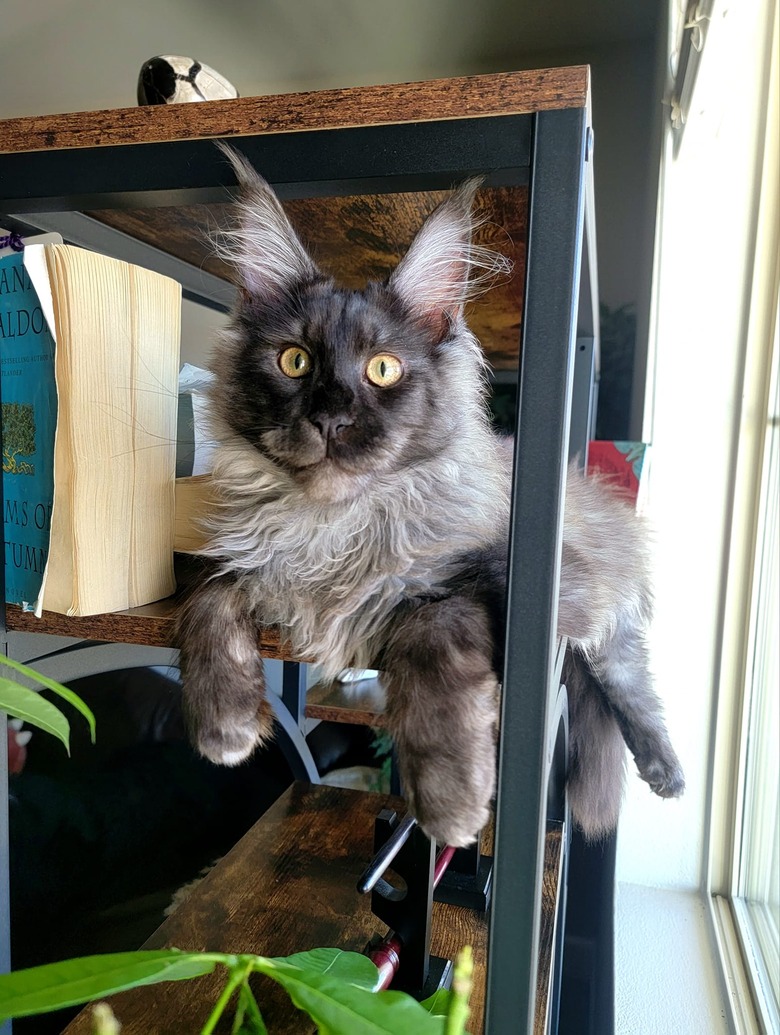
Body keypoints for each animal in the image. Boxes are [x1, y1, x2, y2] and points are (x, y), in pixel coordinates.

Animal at [174, 151, 678, 848]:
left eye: (383, 369)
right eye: (295, 361)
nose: (330, 419)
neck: (332, 528)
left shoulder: (523, 586)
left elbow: (429, 623)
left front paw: (451, 801)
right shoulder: (246, 560)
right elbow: (209, 593)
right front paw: (224, 722)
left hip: (603, 621)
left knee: (632, 686)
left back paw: (665, 770)